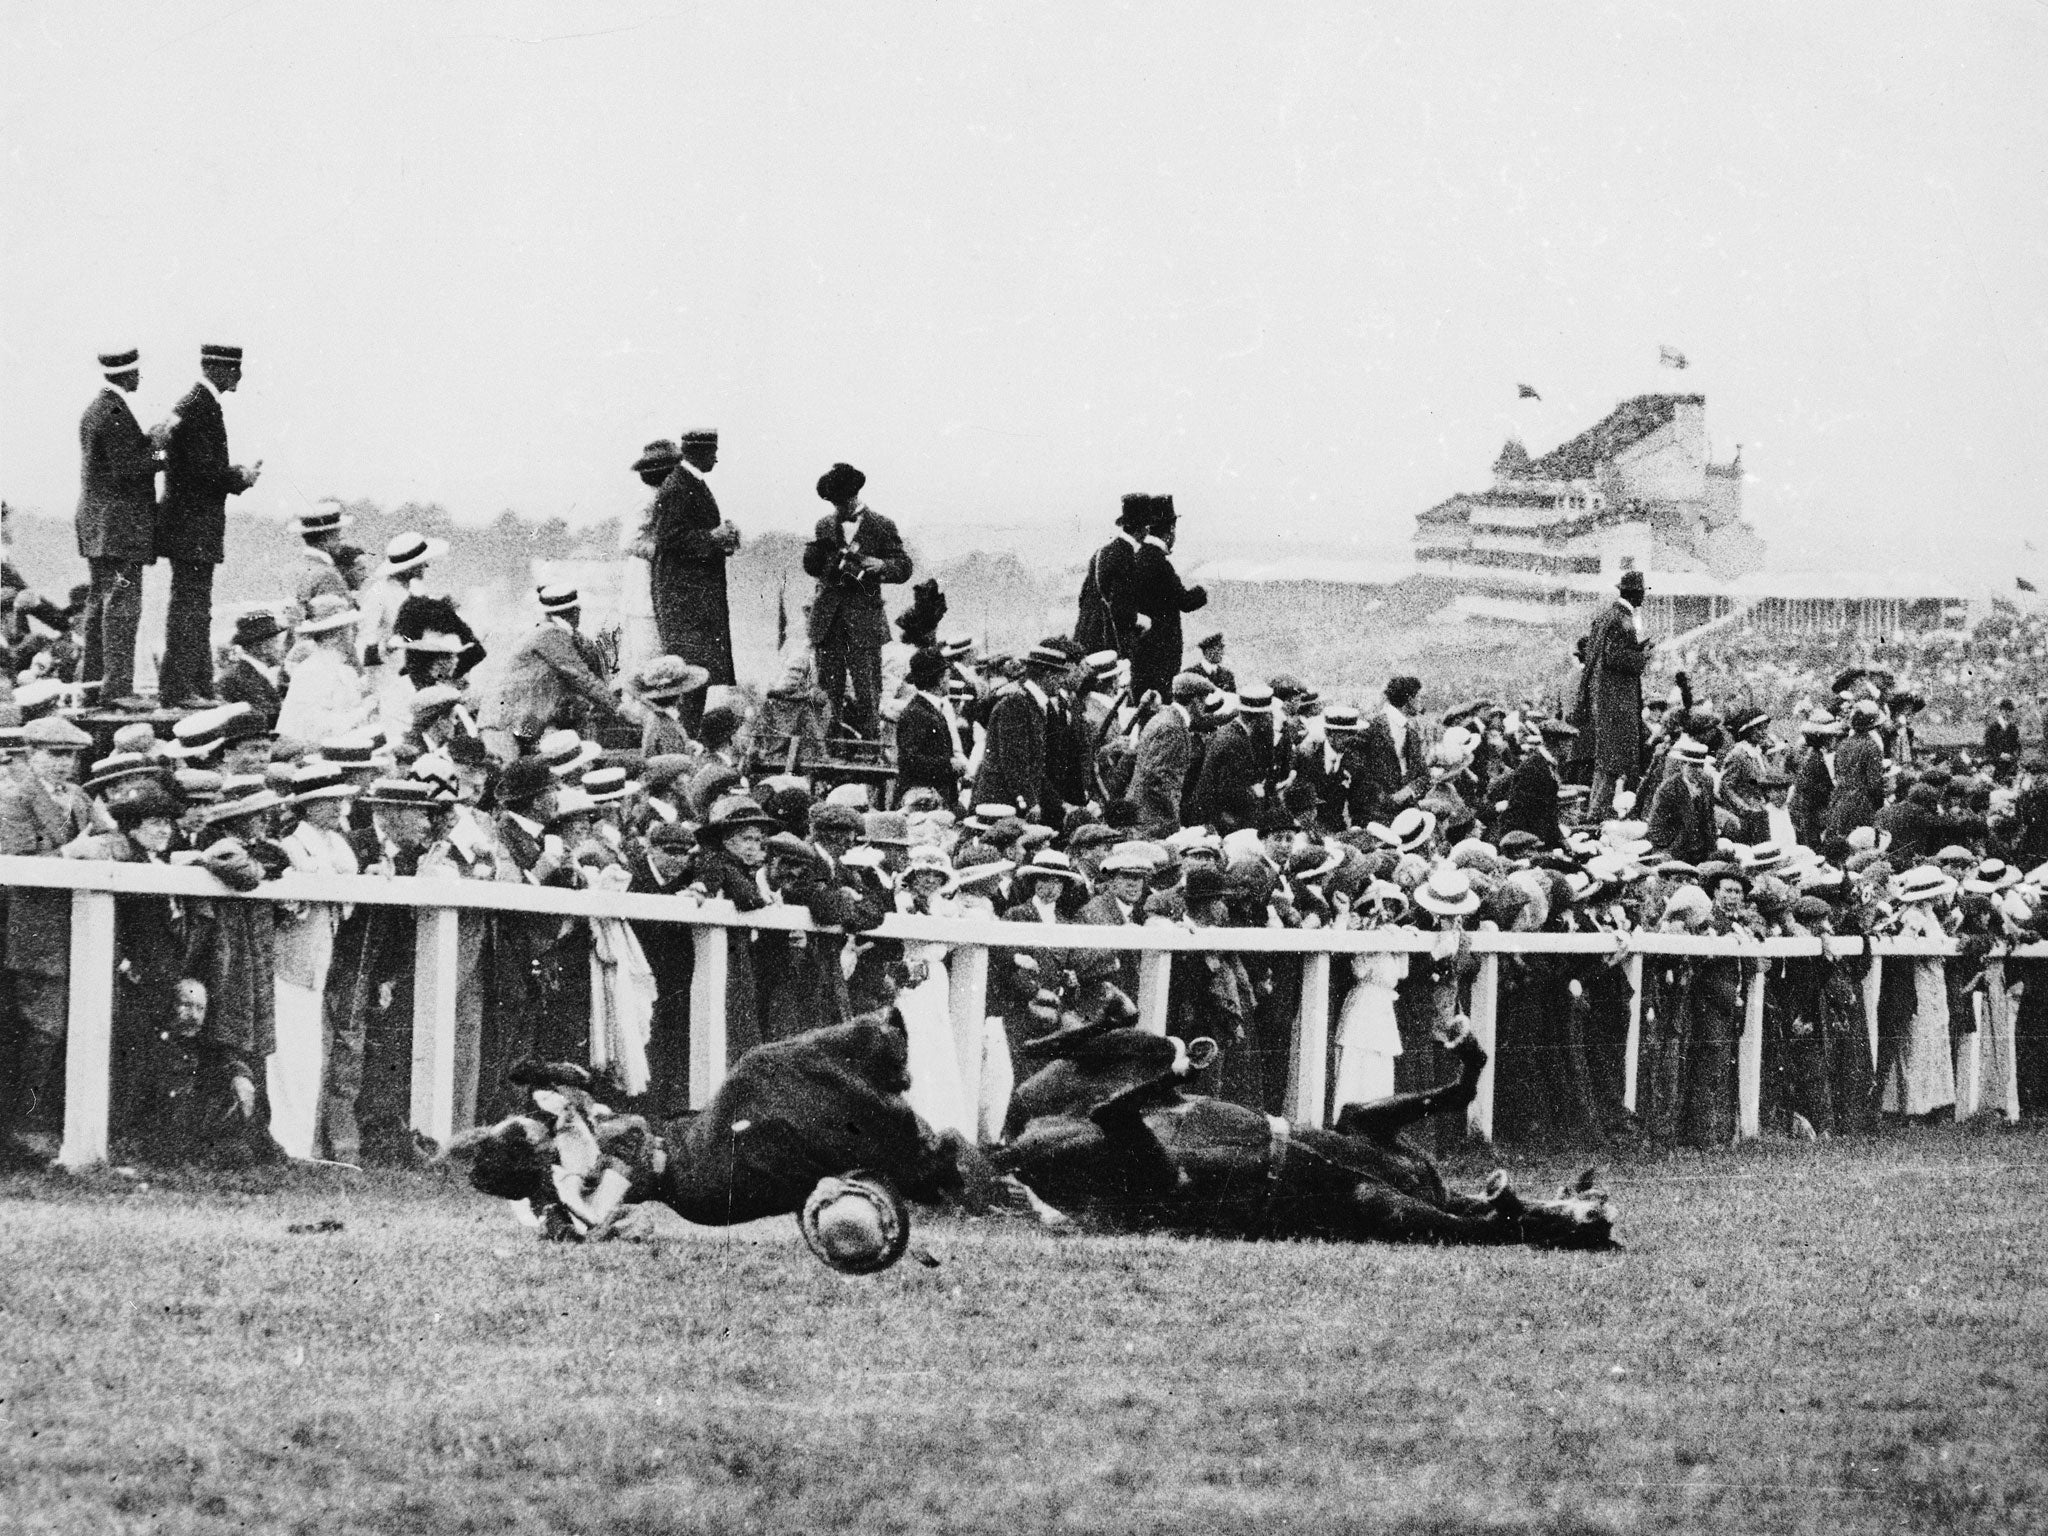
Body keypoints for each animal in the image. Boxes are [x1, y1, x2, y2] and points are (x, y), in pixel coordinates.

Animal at [987, 1015, 1613, 1253]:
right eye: (1595, 1204)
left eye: (1598, 1220)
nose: (1595, 1212)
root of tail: (1010, 1146)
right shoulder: (1364, 1122)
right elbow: (1457, 1091)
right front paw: (1468, 1048)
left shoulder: (1387, 1205)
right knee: (1121, 1045)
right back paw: (1175, 1056)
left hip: (1156, 1173)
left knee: (1112, 1106)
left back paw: (1180, 1064)